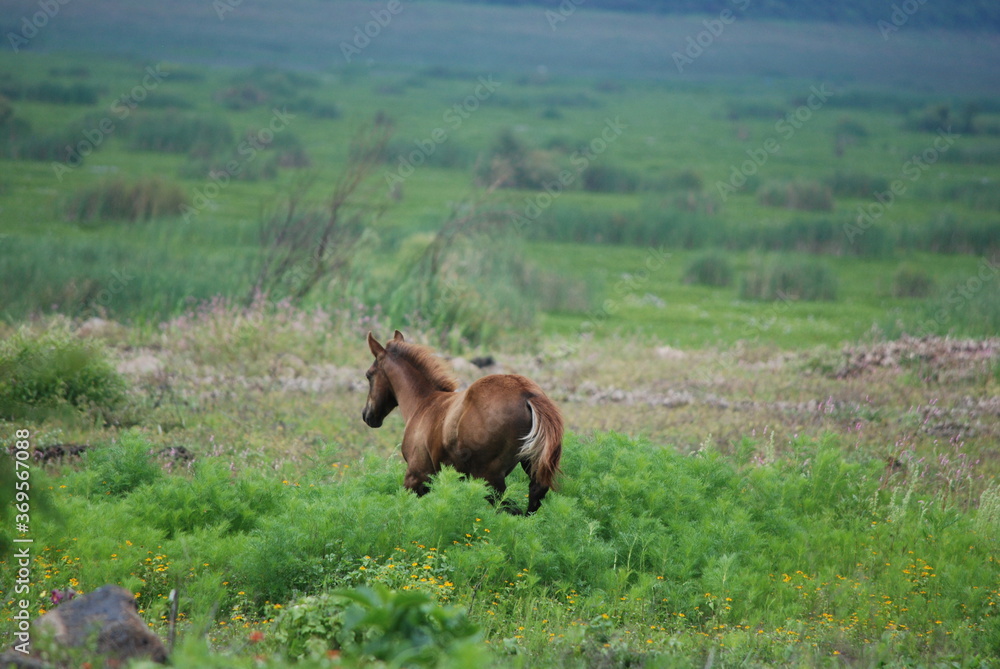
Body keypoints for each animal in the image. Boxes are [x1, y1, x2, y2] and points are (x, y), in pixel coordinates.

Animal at [361, 330, 563, 515]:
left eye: (369, 375)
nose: (367, 415)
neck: (424, 403)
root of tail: (527, 394)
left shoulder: (416, 475)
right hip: (530, 465)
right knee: (533, 498)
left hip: (489, 478)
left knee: (510, 509)